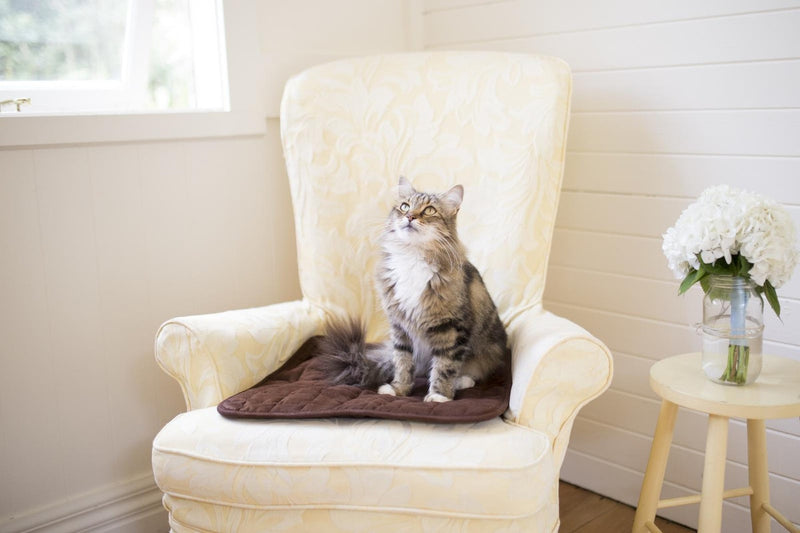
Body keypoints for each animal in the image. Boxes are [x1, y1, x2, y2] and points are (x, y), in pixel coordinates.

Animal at [318, 177, 506, 402]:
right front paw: (398, 389)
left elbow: (445, 366)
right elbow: (403, 362)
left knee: (471, 371)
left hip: (486, 351)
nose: (409, 216)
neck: (412, 256)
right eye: (405, 206)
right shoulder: (400, 326)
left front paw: (439, 396)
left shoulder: (451, 328)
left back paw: (460, 382)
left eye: (430, 210)